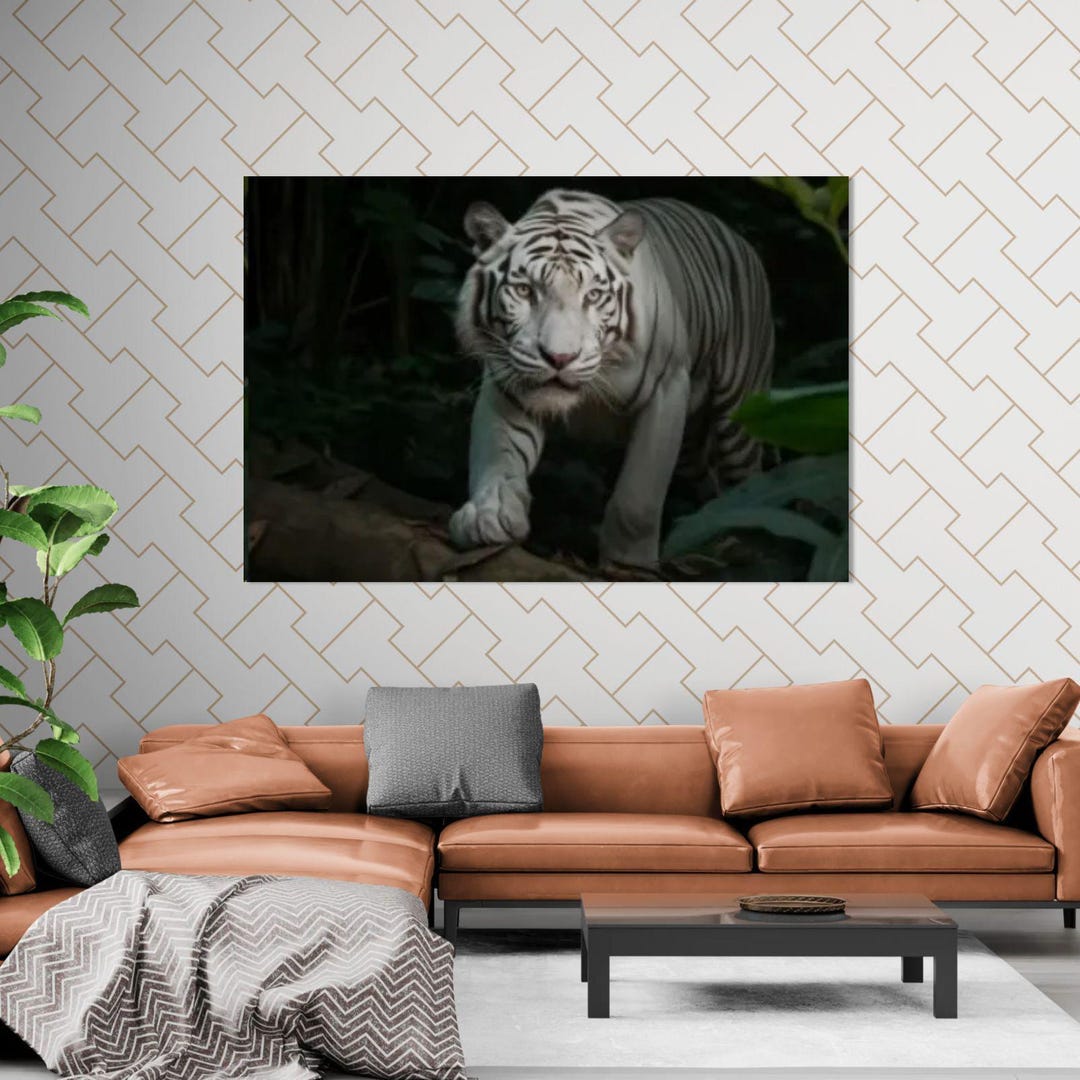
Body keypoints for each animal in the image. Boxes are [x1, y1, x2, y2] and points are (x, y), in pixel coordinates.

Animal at [449, 188, 775, 569]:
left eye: (592, 296)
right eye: (526, 291)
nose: (559, 358)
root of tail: (739, 238)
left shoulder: (666, 389)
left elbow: (638, 497)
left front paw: (629, 563)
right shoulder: (507, 384)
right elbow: (497, 457)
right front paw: (489, 517)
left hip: (740, 417)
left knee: (749, 478)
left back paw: (748, 547)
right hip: (691, 446)